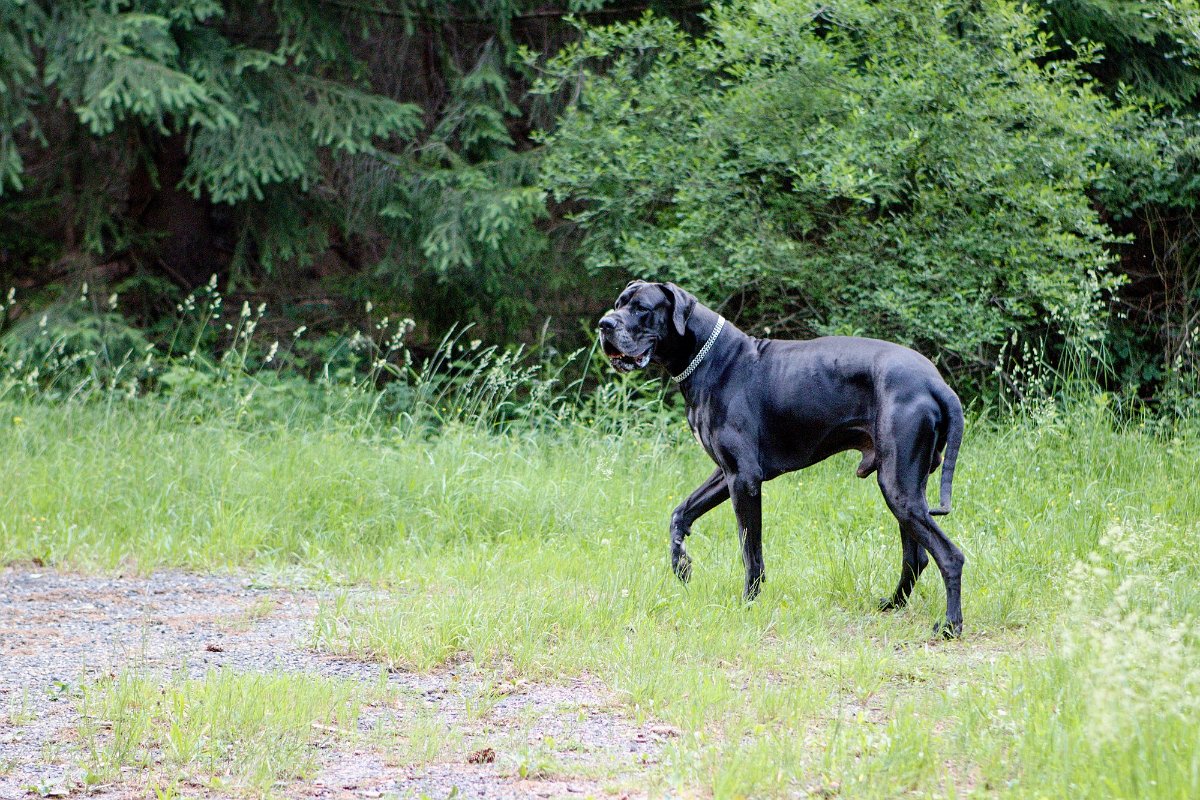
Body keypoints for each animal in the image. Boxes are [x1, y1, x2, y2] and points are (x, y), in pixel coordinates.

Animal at [595, 281, 969, 638]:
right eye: (618, 304)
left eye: (641, 308)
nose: (604, 325)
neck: (710, 359)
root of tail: (936, 383)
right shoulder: (726, 473)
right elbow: (680, 513)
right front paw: (681, 564)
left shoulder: (744, 478)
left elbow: (751, 551)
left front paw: (748, 602)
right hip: (906, 487)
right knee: (916, 557)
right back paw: (892, 604)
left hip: (898, 487)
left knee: (950, 556)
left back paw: (950, 625)